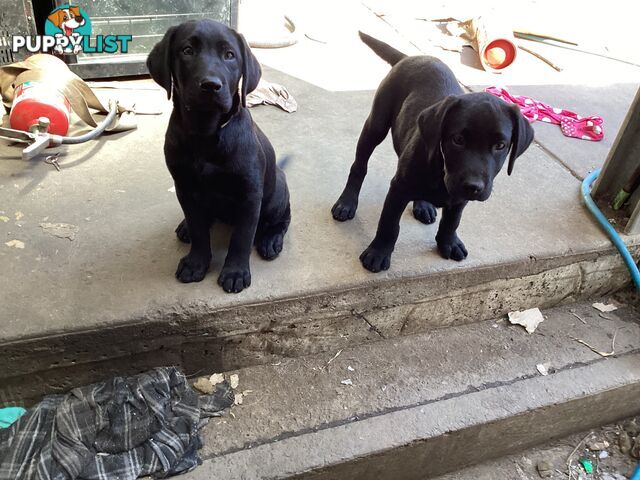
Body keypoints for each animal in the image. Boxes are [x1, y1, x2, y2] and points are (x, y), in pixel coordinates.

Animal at [148, 20, 290, 292]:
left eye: (230, 55)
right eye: (187, 51)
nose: (210, 85)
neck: (206, 133)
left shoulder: (250, 195)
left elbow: (242, 237)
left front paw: (235, 272)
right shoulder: (184, 187)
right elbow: (199, 229)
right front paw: (196, 263)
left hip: (276, 193)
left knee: (283, 218)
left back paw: (271, 239)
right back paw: (185, 228)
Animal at [330, 33, 536, 272]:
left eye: (500, 145)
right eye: (458, 140)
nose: (473, 187)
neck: (442, 170)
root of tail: (410, 57)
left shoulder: (459, 197)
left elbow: (452, 221)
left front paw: (448, 242)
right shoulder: (399, 188)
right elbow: (389, 224)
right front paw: (378, 253)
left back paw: (424, 205)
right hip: (376, 125)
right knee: (359, 166)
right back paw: (347, 202)